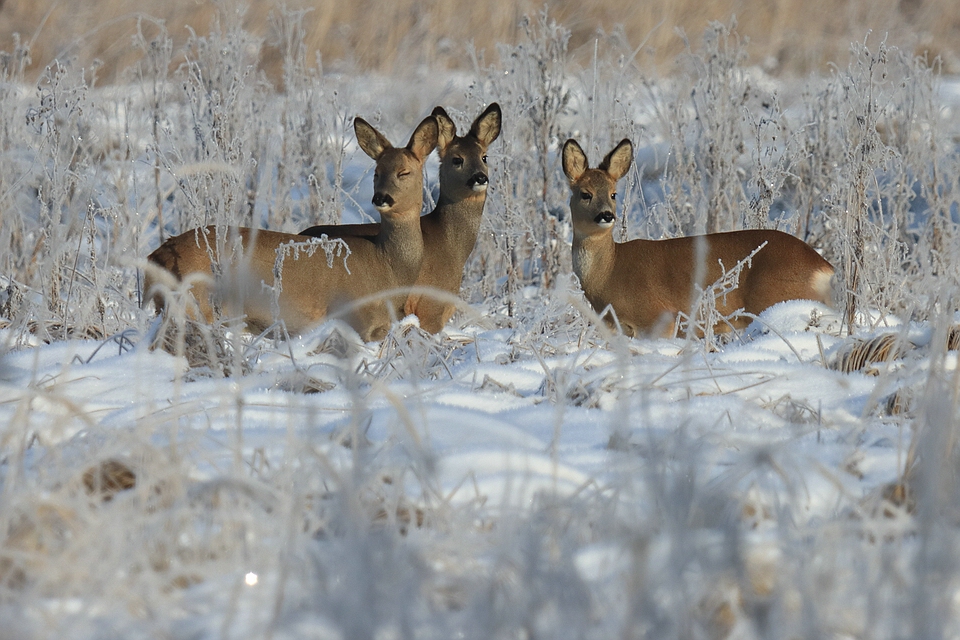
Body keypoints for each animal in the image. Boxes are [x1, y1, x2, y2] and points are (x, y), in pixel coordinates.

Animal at [142, 117, 438, 342]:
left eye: (404, 172)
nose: (380, 198)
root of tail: (156, 256)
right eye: (376, 172)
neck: (388, 265)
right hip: (194, 305)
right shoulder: (356, 318)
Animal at [564, 138, 832, 338]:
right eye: (585, 194)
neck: (609, 272)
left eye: (613, 194)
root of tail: (824, 267)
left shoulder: (659, 318)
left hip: (780, 301)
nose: (606, 215)